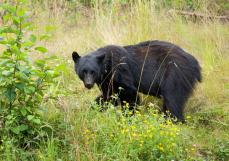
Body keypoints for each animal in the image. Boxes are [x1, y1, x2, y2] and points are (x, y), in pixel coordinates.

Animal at [72, 40, 201, 121]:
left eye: (93, 71)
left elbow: (130, 93)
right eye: (83, 71)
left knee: (173, 100)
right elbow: (108, 96)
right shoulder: (107, 81)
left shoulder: (120, 70)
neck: (107, 65)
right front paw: (92, 109)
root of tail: (195, 63)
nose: (88, 84)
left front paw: (128, 117)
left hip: (175, 74)